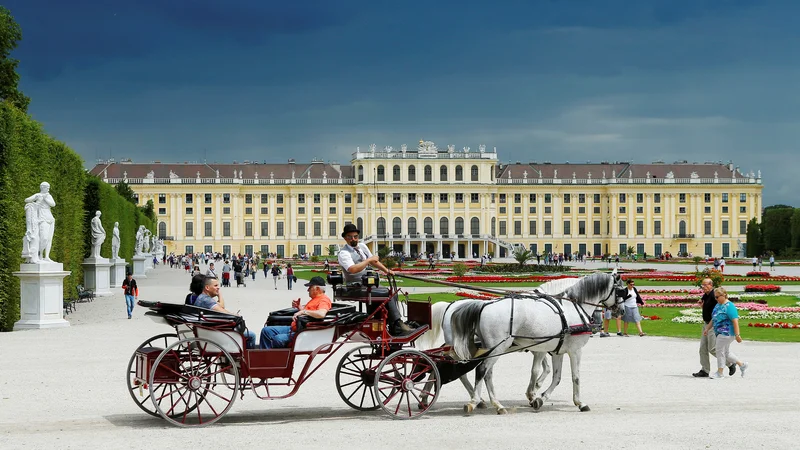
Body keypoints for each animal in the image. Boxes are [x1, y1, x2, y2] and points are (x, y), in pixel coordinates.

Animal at [450, 270, 624, 414]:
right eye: (621, 290)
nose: (621, 311)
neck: (572, 307)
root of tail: (485, 305)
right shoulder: (574, 350)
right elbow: (575, 376)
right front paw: (580, 403)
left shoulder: (556, 350)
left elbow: (555, 376)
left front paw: (539, 398)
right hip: (498, 348)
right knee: (481, 370)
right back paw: (474, 401)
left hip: (492, 349)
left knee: (487, 374)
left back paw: (497, 404)